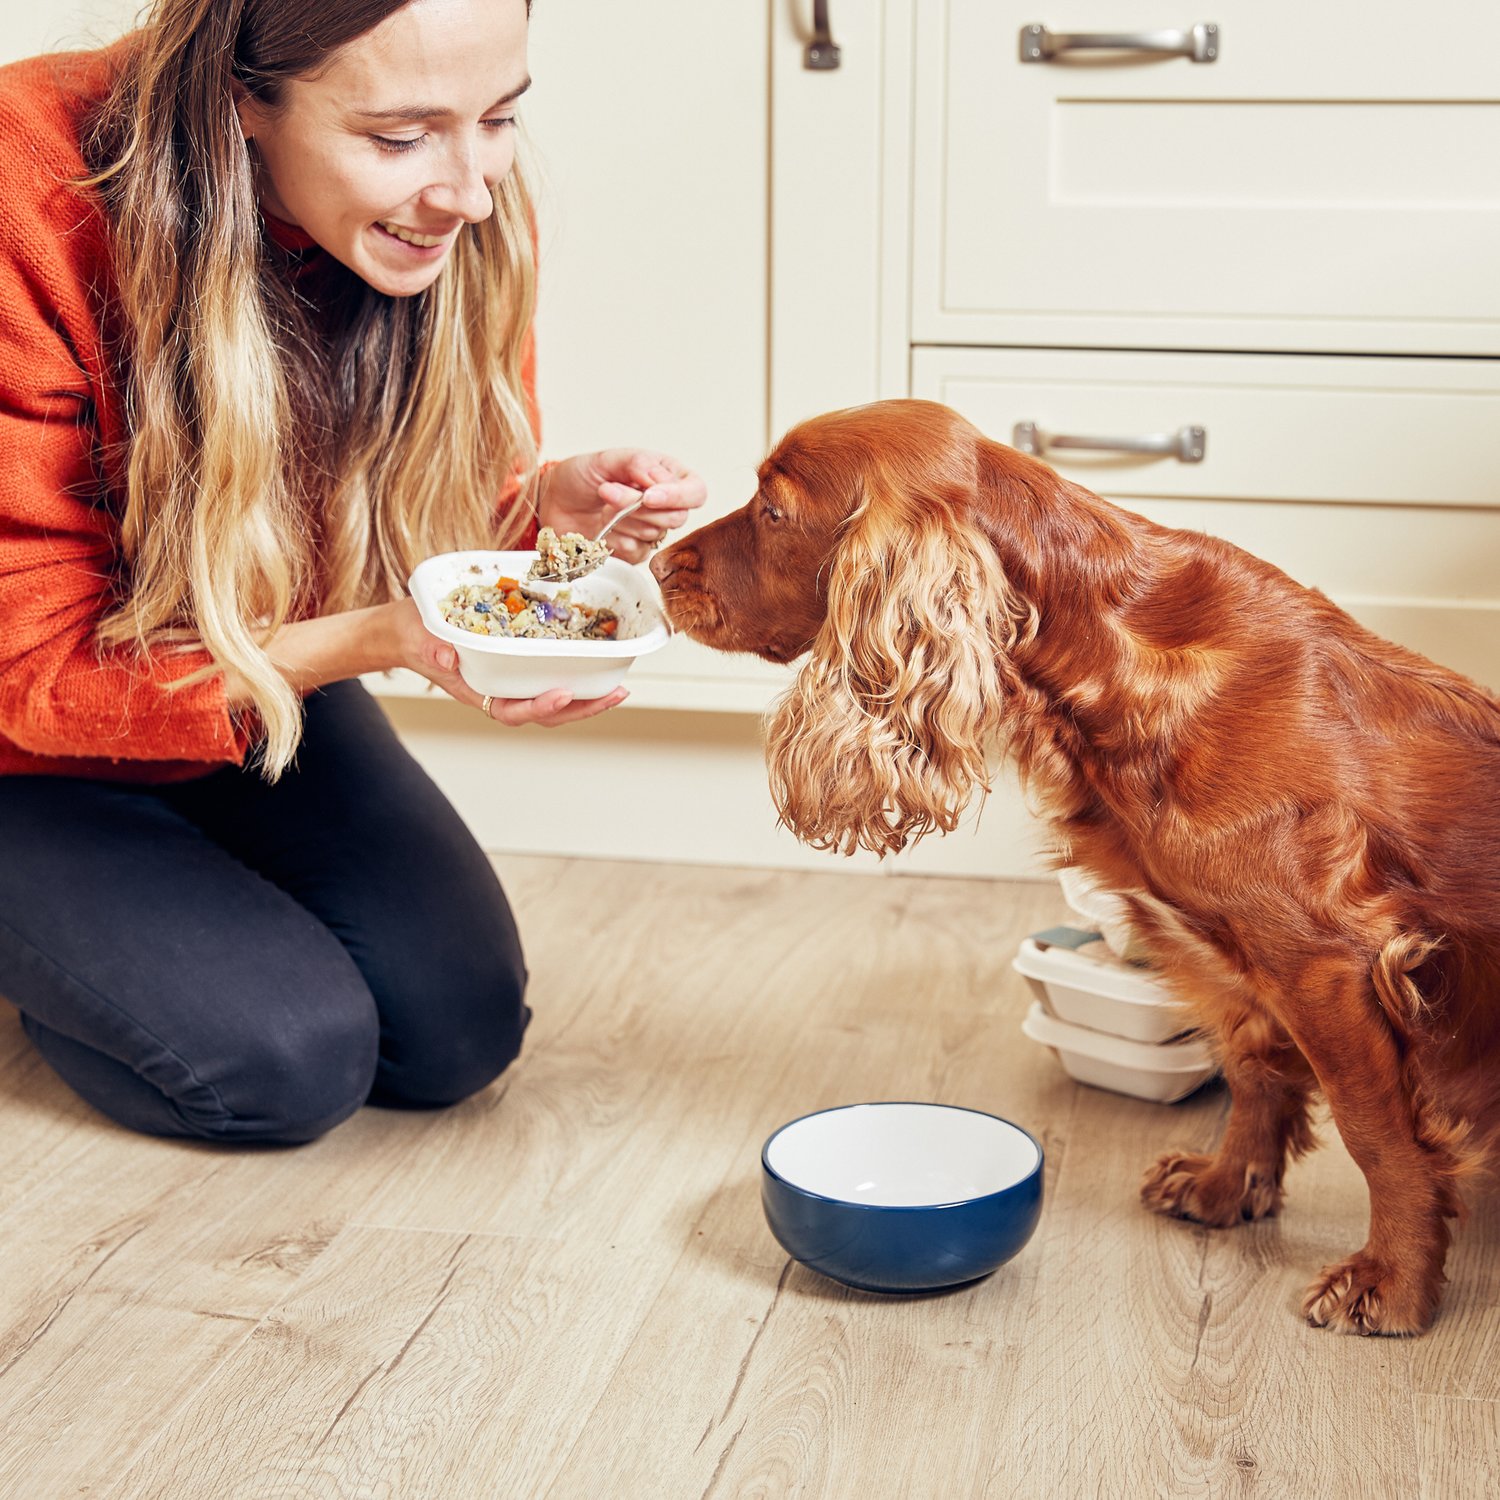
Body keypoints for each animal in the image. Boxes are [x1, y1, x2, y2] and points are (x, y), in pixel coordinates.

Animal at [651, 399, 1500, 1338]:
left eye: (772, 510)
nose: (653, 565)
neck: (1112, 657)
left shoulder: (1325, 964)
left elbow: (1377, 1135)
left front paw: (1393, 1281)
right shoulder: (1232, 949)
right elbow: (1254, 1071)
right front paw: (1225, 1185)